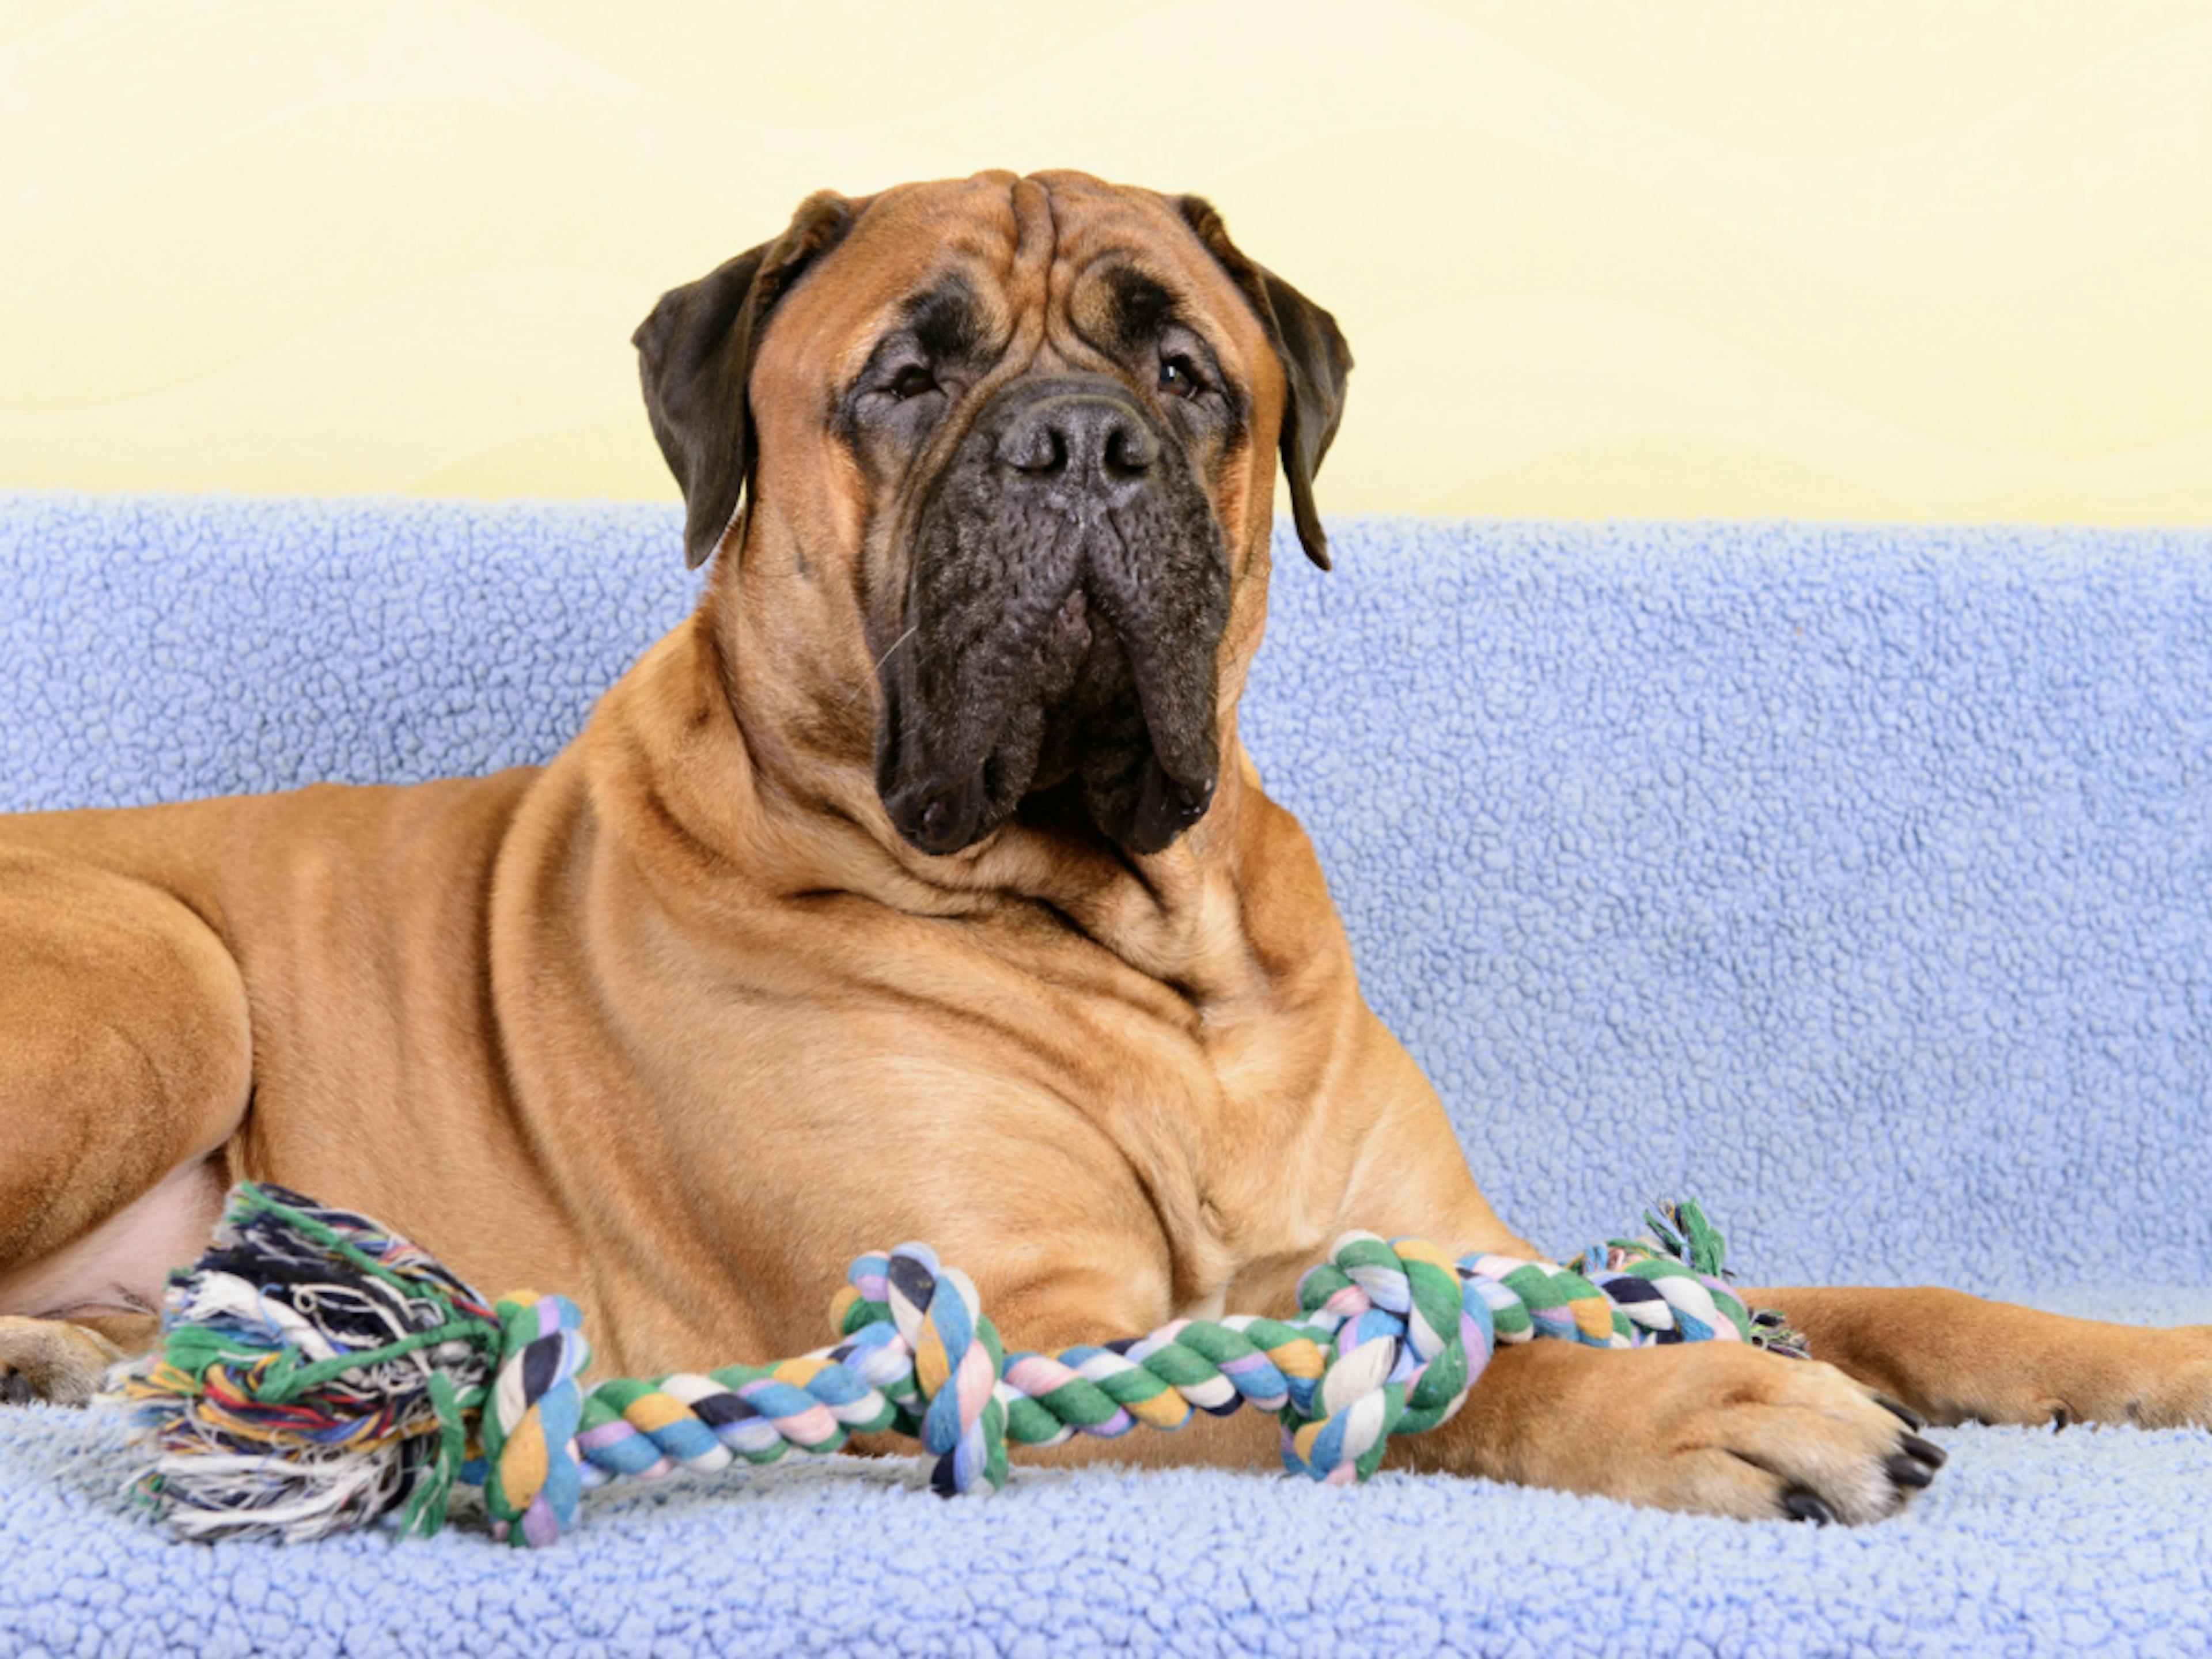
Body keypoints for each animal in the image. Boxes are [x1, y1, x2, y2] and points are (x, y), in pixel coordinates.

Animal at [4, 172, 2212, 1531]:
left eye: (1182, 368)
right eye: (906, 373)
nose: (1076, 441)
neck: (1147, 940)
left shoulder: (1458, 1233)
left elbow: (1880, 1295)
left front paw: (2126, 1357)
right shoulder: (1032, 1326)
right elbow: (1425, 1372)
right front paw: (1715, 1411)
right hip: (163, 974)